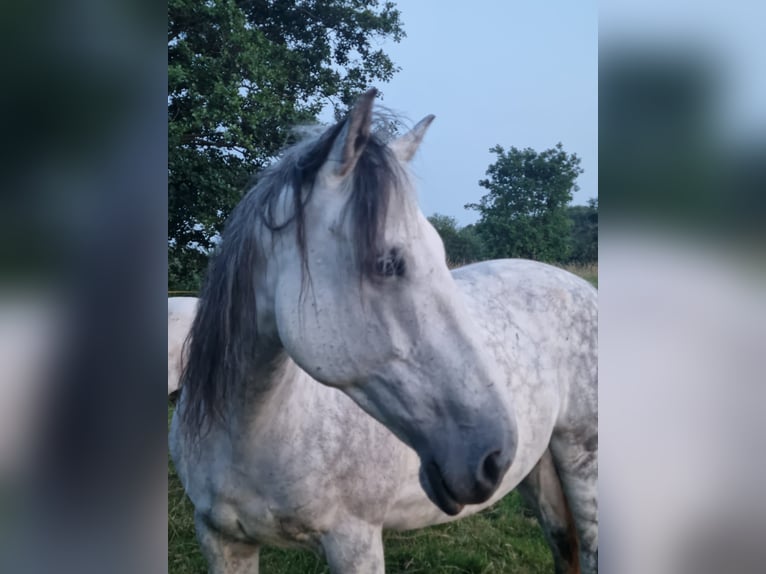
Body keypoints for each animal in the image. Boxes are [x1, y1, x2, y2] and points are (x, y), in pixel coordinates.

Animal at [169, 89, 598, 573]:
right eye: (388, 263)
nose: (494, 455)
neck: (249, 431)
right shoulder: (221, 541)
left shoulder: (354, 541)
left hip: (584, 464)